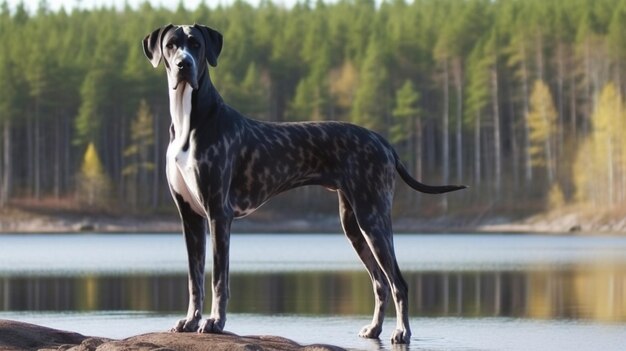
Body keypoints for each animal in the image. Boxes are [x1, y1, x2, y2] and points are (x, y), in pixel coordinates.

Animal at [143, 23, 464, 346]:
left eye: (196, 44)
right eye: (172, 45)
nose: (184, 65)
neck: (189, 122)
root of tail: (383, 141)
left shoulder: (218, 213)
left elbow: (219, 278)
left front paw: (215, 323)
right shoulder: (190, 217)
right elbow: (194, 278)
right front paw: (190, 321)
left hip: (373, 219)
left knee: (398, 282)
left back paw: (402, 332)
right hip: (353, 224)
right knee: (380, 282)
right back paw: (374, 329)